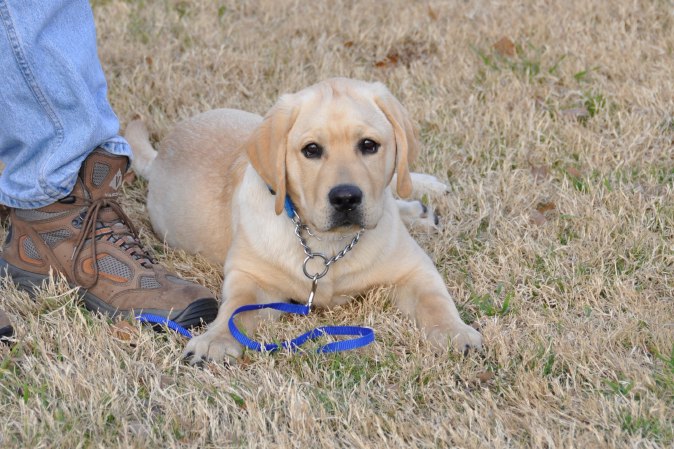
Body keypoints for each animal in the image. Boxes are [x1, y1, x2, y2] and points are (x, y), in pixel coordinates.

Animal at [125, 78, 482, 362]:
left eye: (369, 145)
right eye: (311, 150)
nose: (346, 198)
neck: (329, 245)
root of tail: (160, 155)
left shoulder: (414, 269)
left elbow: (435, 301)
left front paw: (455, 332)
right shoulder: (251, 279)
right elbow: (234, 310)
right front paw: (215, 340)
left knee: (397, 184)